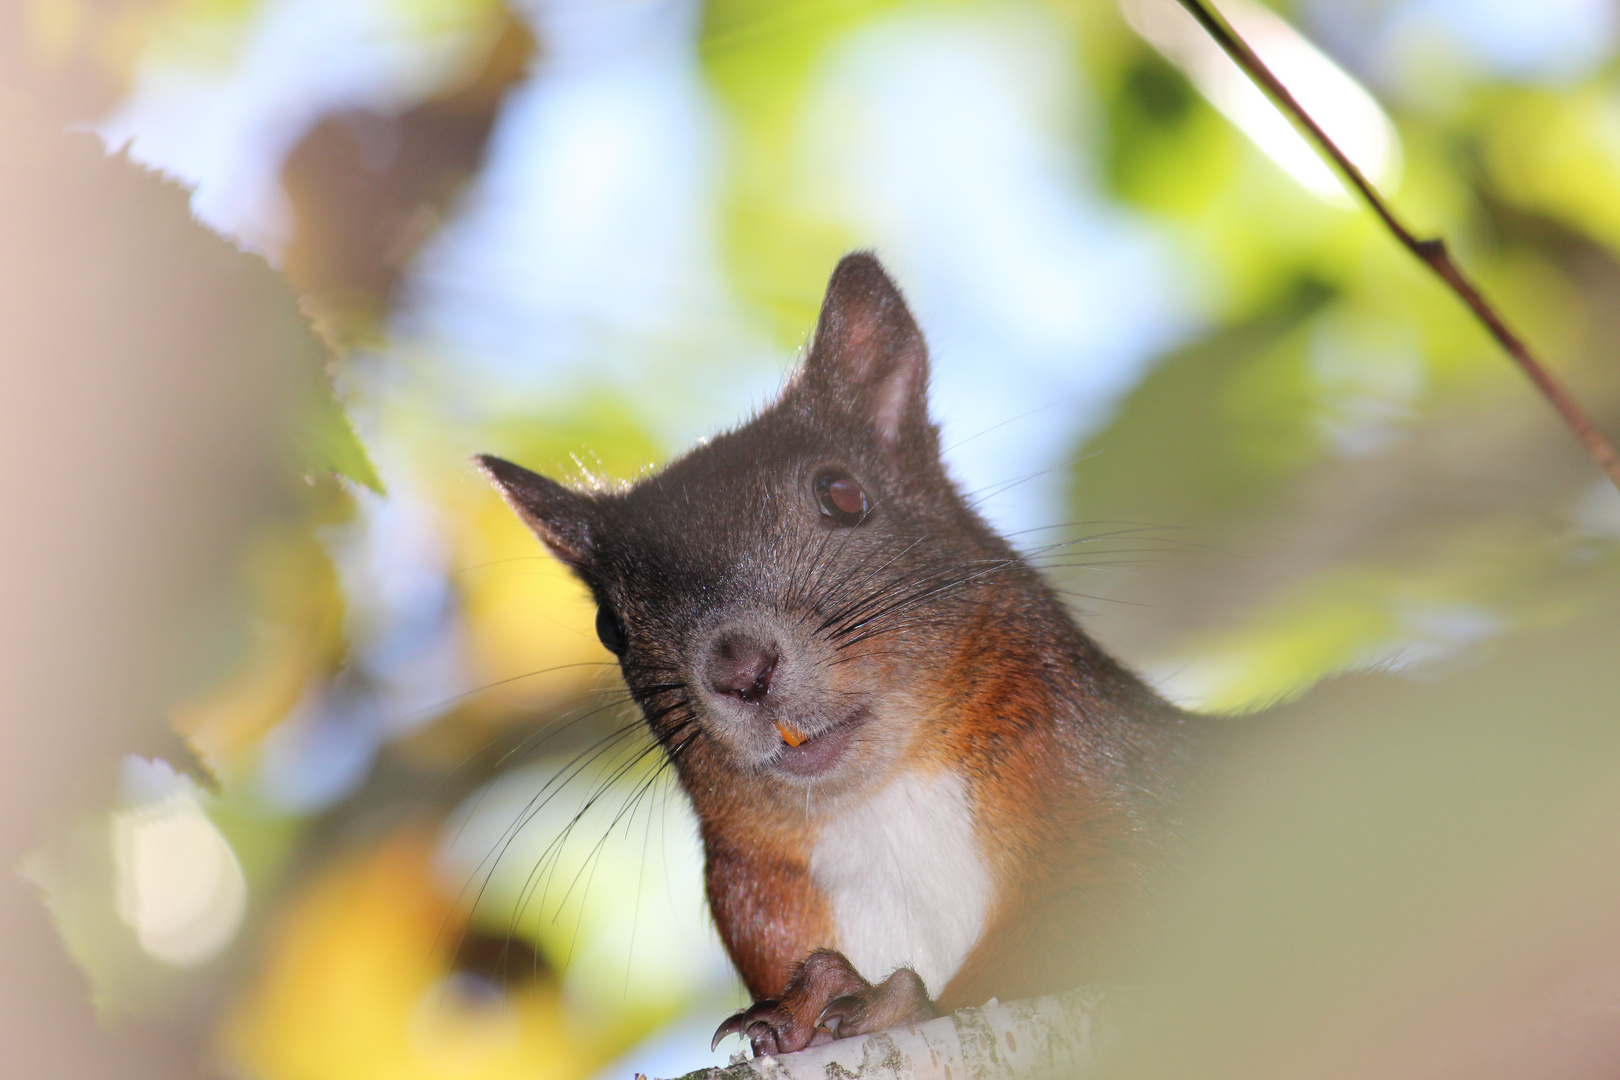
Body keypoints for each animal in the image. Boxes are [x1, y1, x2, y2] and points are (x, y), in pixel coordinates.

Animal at [473, 250, 1211, 1055]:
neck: (882, 807)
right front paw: (807, 1006)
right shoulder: (762, 902)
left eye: (843, 494)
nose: (741, 670)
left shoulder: (1113, 791)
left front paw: (881, 1002)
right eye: (612, 625)